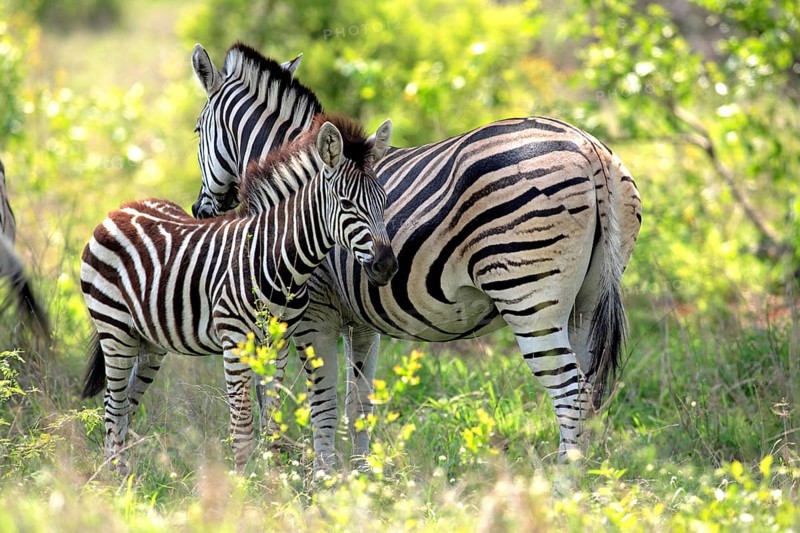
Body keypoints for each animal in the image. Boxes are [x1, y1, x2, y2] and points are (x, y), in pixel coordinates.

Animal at [79, 114, 397, 472]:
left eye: (384, 201)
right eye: (347, 204)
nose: (387, 266)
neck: (278, 260)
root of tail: (121, 209)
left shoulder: (278, 343)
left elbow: (272, 421)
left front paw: (273, 480)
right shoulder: (235, 342)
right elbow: (242, 426)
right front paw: (243, 483)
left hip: (148, 341)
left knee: (125, 405)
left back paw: (122, 475)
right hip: (114, 329)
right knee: (113, 406)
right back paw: (115, 477)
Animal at [190, 43, 642, 470]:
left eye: (196, 131)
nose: (200, 210)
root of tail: (589, 150)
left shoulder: (313, 314)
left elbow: (317, 404)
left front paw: (318, 478)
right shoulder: (361, 320)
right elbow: (359, 404)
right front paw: (360, 478)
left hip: (529, 299)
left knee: (571, 395)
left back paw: (562, 488)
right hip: (586, 303)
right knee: (590, 391)